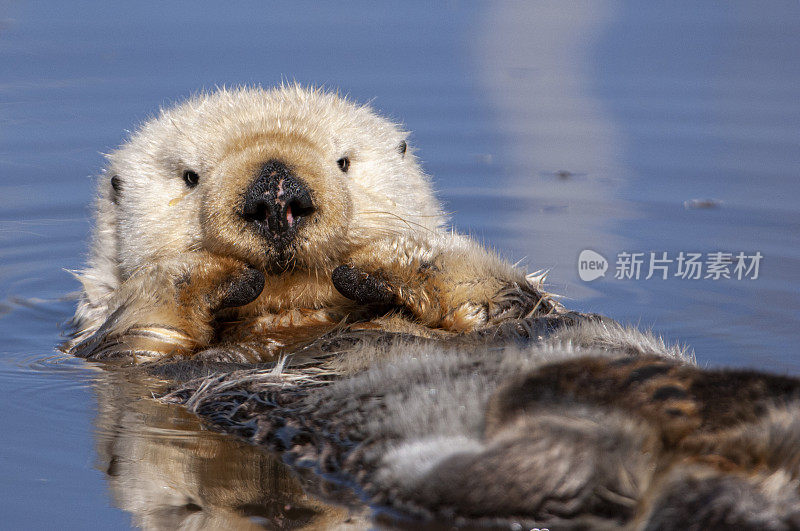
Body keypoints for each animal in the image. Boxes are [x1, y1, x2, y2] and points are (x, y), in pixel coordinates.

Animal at [65, 85, 552, 364]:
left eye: (343, 162)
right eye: (190, 176)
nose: (276, 196)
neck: (291, 319)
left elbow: (506, 298)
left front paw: (392, 253)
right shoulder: (124, 355)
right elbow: (142, 326)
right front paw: (206, 271)